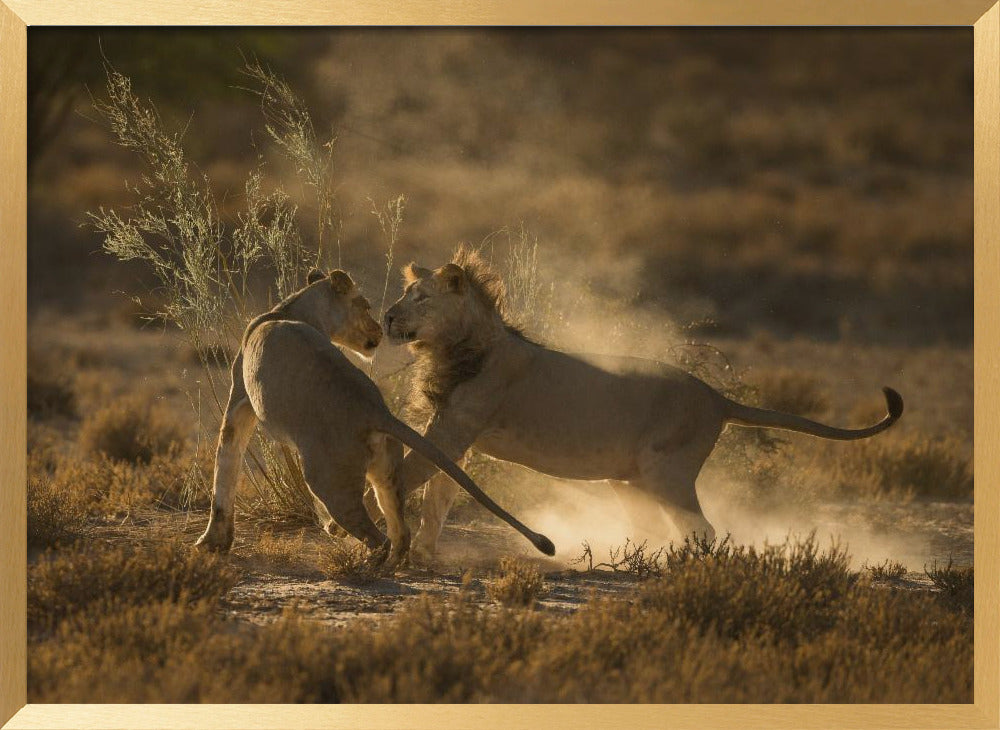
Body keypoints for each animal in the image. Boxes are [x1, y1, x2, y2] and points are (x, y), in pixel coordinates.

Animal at [195, 268, 555, 568]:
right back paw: (393, 564)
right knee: (400, 530)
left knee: (374, 535)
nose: (381, 330)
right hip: (387, 473)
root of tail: (376, 410)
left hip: (328, 479)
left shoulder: (240, 401)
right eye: (366, 306)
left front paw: (212, 543)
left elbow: (226, 465)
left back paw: (366, 565)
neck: (292, 311)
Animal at [383, 247, 904, 562]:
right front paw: (423, 555)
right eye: (406, 294)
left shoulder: (454, 427)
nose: (386, 317)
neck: (455, 347)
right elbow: (438, 496)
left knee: (702, 529)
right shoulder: (455, 437)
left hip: (665, 470)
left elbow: (410, 473)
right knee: (659, 527)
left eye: (420, 298)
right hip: (629, 480)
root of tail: (716, 396)